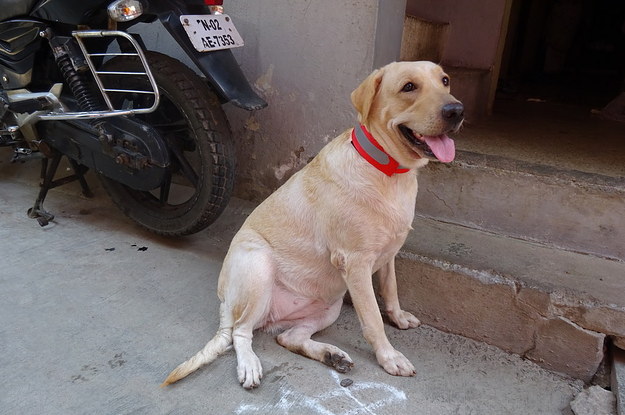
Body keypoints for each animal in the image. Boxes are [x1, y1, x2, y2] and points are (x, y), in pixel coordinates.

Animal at [163, 60, 460, 388]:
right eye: (409, 87)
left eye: (445, 80)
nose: (457, 110)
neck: (387, 170)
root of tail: (226, 304)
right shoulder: (356, 264)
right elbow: (372, 319)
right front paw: (389, 356)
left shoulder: (389, 254)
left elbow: (391, 289)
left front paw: (398, 317)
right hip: (258, 268)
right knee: (240, 333)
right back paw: (250, 365)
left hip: (329, 306)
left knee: (288, 338)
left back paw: (331, 355)